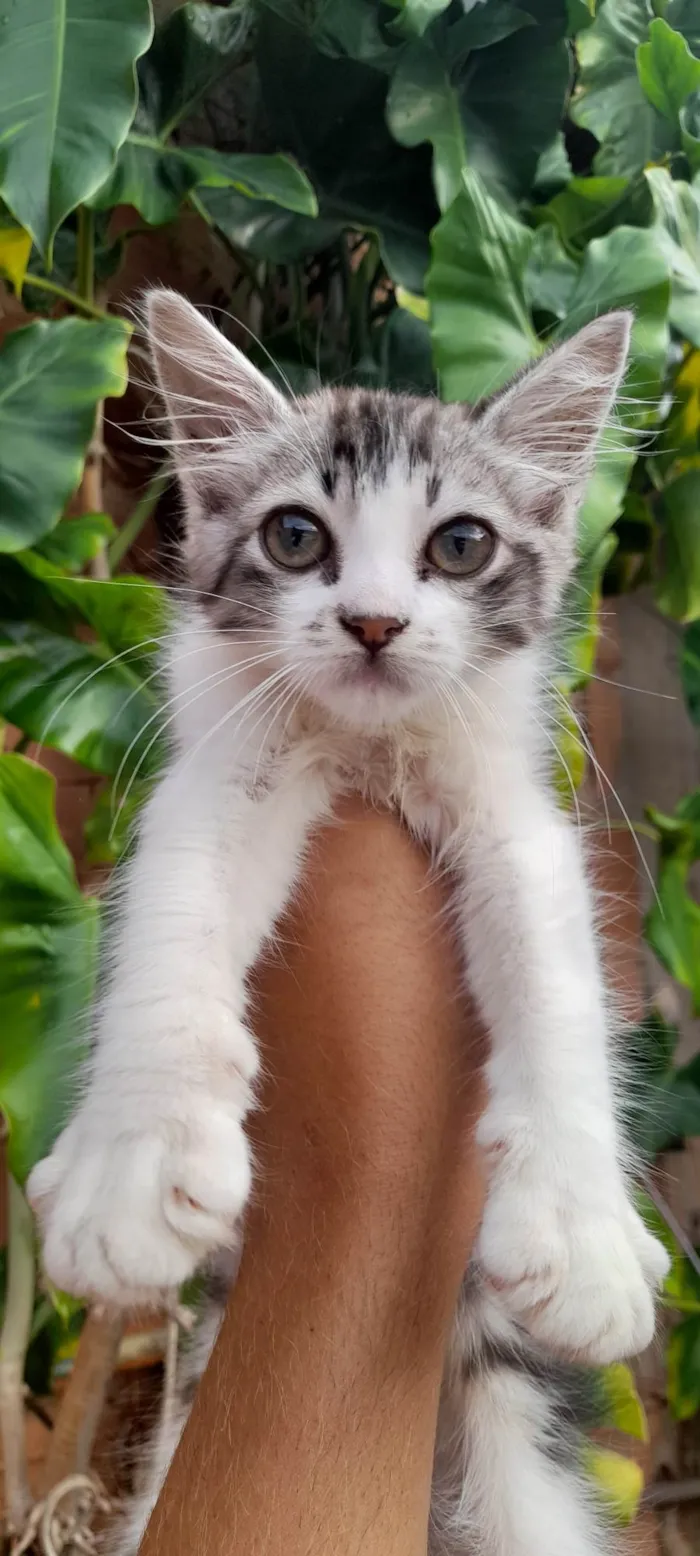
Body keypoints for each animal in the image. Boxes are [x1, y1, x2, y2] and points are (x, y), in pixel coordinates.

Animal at [30, 289, 668, 1543]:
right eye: (294, 536)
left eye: (459, 544)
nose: (373, 623)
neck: (368, 753)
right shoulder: (216, 776)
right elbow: (171, 913)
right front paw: (131, 1157)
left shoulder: (519, 819)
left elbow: (559, 982)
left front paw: (581, 1228)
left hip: (519, 1462)